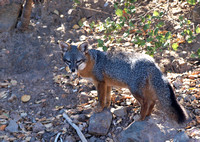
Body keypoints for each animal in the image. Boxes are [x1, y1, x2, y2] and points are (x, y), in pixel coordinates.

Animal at [59, 41, 188, 123]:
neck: (92, 63)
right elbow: (107, 97)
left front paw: (99, 108)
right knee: (152, 101)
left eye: (78, 61)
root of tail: (151, 62)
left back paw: (141, 118)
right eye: (68, 61)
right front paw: (107, 107)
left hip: (134, 90)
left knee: (146, 102)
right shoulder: (107, 84)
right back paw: (147, 115)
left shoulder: (100, 83)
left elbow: (101, 98)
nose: (72, 69)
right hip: (146, 89)